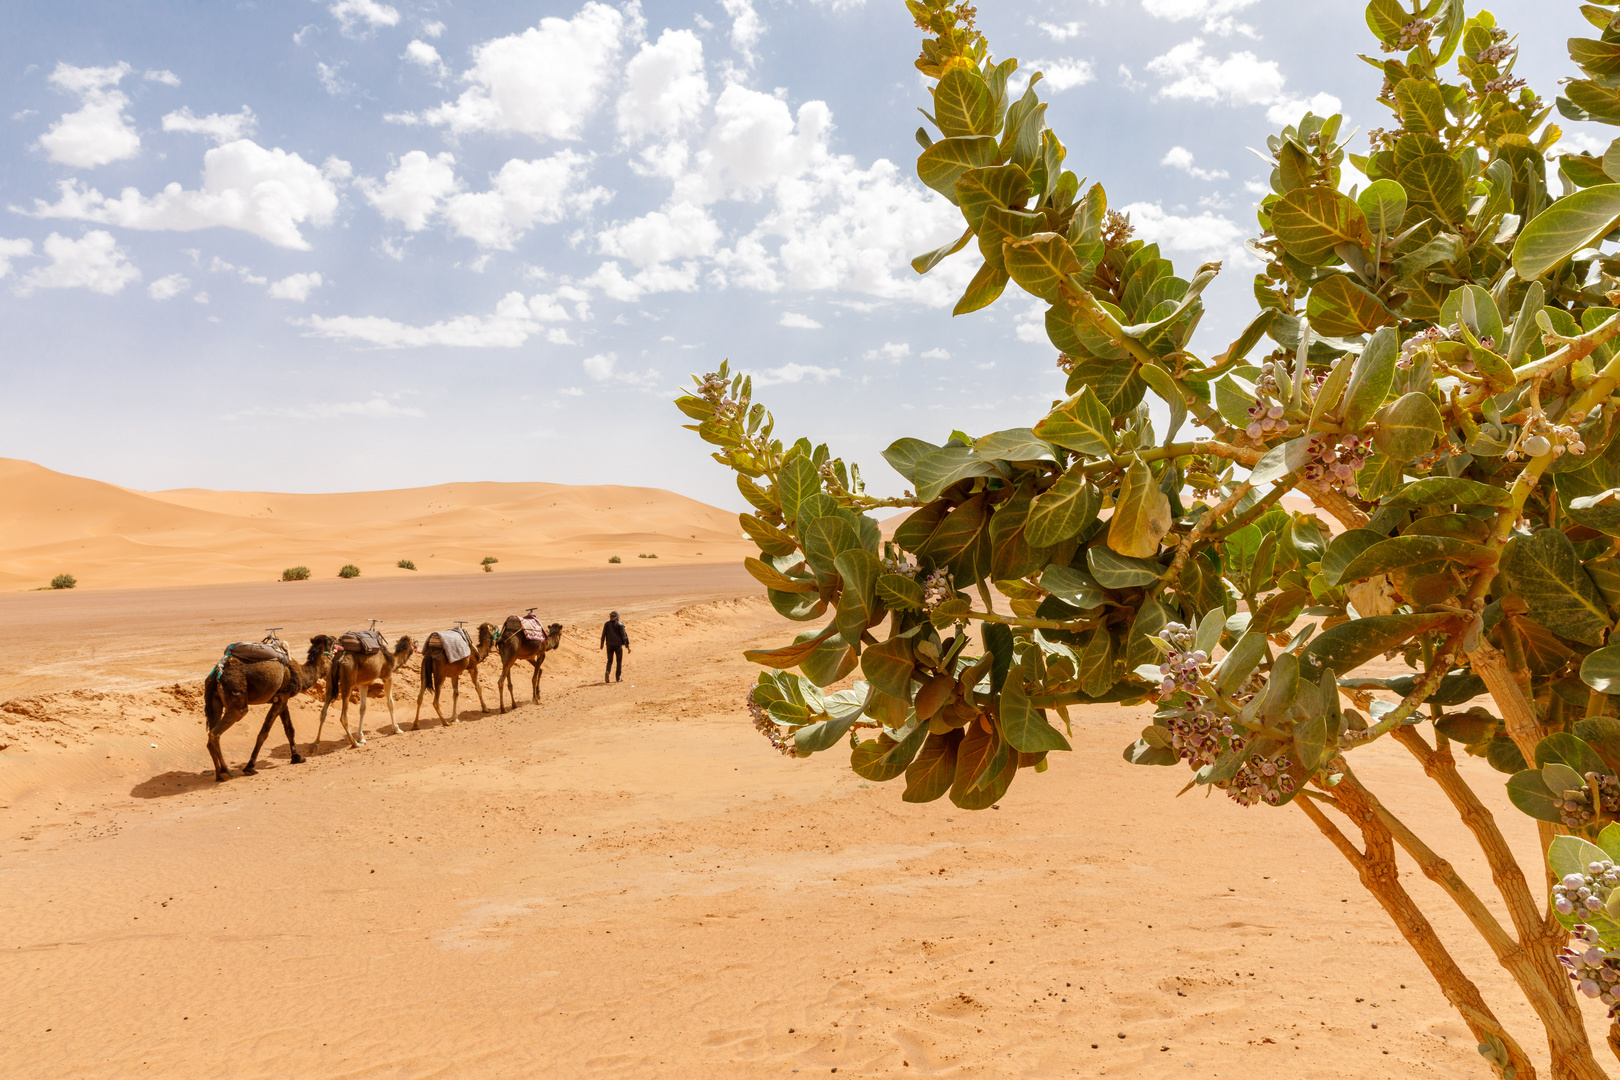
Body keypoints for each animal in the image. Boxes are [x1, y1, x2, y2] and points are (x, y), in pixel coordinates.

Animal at [207, 637, 336, 780]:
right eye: (332, 650)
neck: (302, 674)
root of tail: (218, 673)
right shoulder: (282, 697)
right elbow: (264, 733)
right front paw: (249, 767)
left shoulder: (283, 699)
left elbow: (289, 729)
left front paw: (297, 757)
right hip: (236, 696)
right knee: (215, 732)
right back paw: (226, 771)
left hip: (215, 701)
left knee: (210, 733)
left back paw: (219, 774)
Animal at [306, 628, 414, 757]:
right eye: (413, 641)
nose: (418, 643)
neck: (392, 660)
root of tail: (338, 659)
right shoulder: (387, 676)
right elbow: (390, 703)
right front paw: (397, 729)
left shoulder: (364, 683)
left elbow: (363, 708)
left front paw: (360, 737)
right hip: (348, 682)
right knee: (343, 717)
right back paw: (354, 744)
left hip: (329, 681)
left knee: (323, 712)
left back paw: (315, 745)